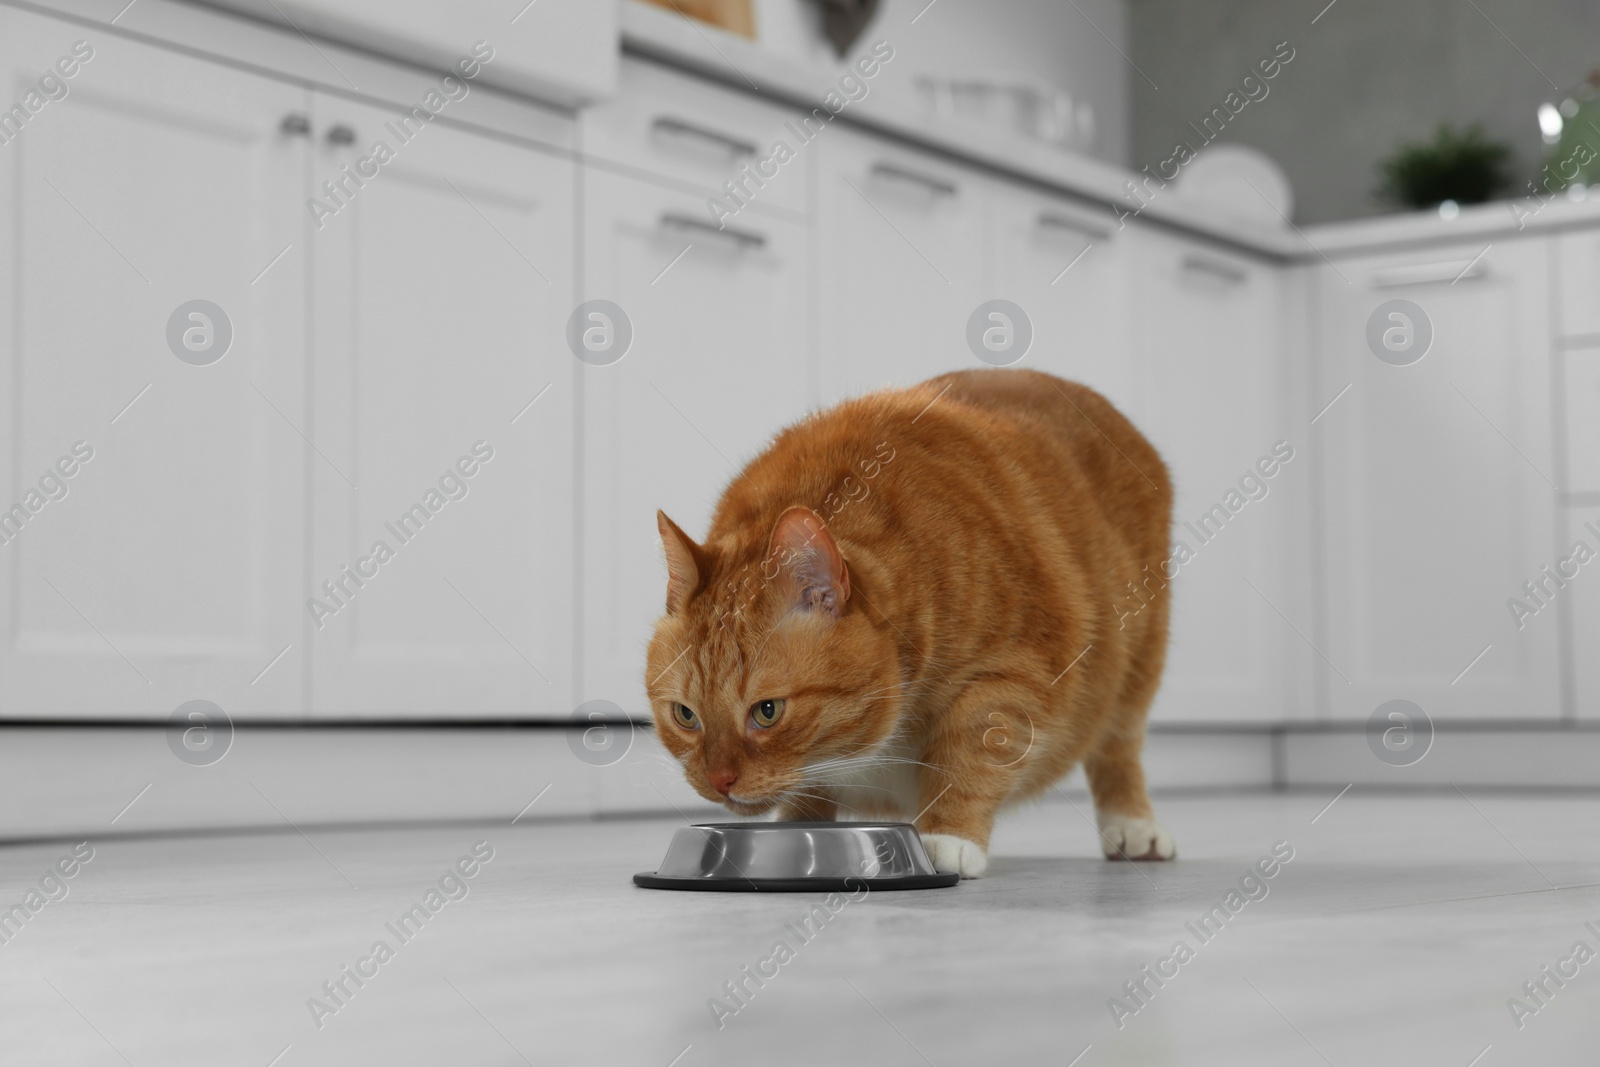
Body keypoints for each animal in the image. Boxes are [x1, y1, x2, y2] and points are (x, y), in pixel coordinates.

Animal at [640, 367, 1177, 876]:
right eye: (685, 715)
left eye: (767, 711)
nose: (719, 781)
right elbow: (809, 795)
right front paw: (798, 830)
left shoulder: (1011, 676)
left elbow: (967, 757)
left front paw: (950, 837)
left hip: (1136, 668)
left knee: (1118, 748)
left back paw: (1134, 825)